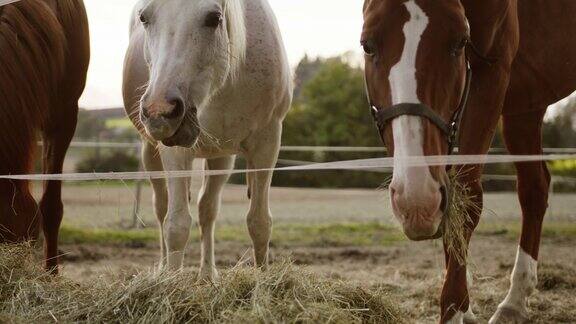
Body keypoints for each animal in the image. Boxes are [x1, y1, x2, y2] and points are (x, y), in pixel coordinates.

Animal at [122, 0, 292, 278]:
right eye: (144, 18)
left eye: (214, 18)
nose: (160, 112)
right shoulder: (174, 152)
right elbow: (176, 226)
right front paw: (171, 281)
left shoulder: (267, 143)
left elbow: (259, 223)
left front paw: (264, 281)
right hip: (151, 152)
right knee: (161, 208)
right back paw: (163, 268)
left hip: (221, 158)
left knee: (207, 210)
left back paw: (208, 275)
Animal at [364, 0, 576, 324]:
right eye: (367, 46)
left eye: (460, 43)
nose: (416, 203)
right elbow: (452, 202)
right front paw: (465, 308)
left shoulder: (493, 69)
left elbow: (466, 200)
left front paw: (454, 310)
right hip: (526, 104)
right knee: (535, 189)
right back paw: (514, 302)